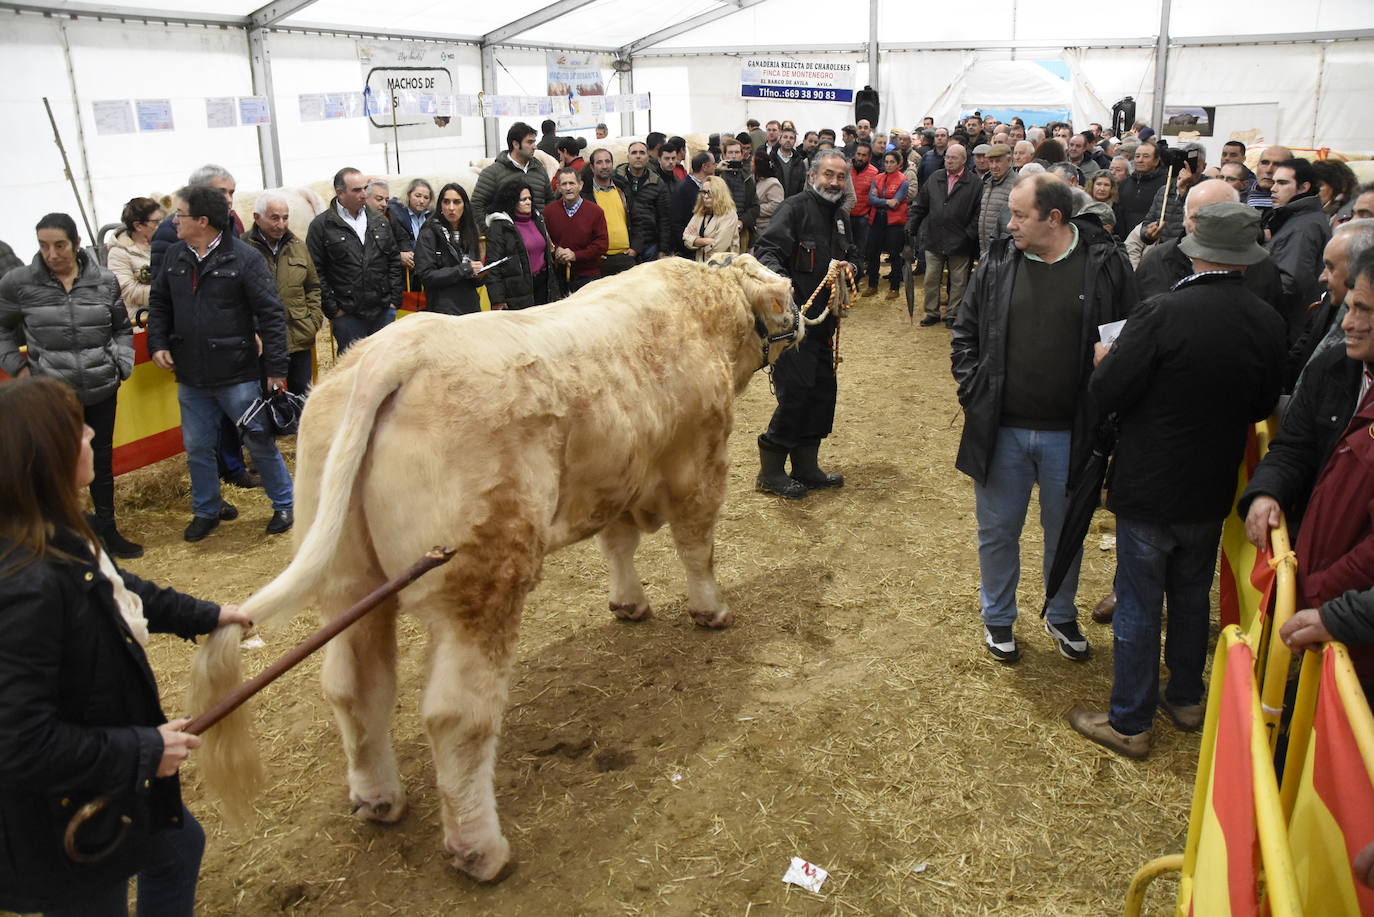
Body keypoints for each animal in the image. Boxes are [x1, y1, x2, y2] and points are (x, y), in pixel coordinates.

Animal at [188, 254, 802, 885]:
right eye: (788, 291)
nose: (804, 318)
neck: (705, 311)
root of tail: (398, 346)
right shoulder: (698, 462)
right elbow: (696, 546)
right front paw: (712, 610)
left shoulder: (612, 479)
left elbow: (618, 544)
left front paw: (629, 602)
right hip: (481, 583)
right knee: (457, 716)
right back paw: (480, 849)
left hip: (350, 584)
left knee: (355, 687)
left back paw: (378, 798)